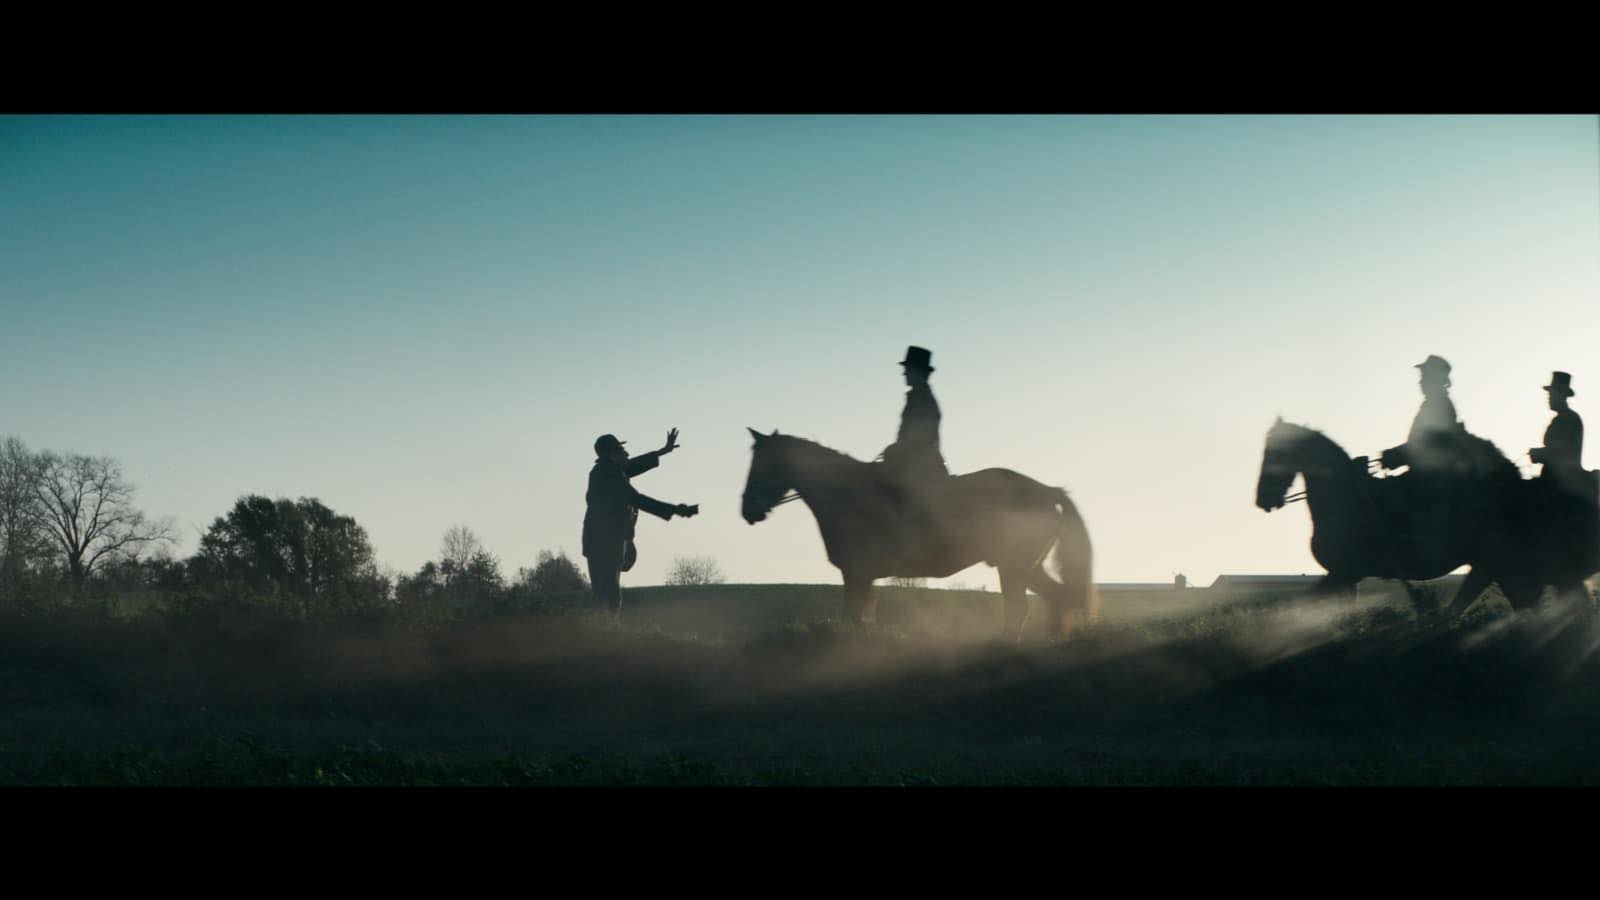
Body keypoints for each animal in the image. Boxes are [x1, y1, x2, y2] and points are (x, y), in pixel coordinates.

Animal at [739, 428, 1095, 641]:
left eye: (761, 464)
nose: (747, 510)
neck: (848, 495)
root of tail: (1047, 490)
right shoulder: (862, 577)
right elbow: (860, 618)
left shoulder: (857, 574)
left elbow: (851, 618)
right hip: (1023, 567)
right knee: (1056, 598)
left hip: (1015, 566)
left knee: (1029, 605)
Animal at [1255, 417, 1598, 615]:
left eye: (1274, 452)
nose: (1262, 500)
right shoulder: (1344, 577)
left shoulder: (1343, 573)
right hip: (1495, 565)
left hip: (1499, 564)